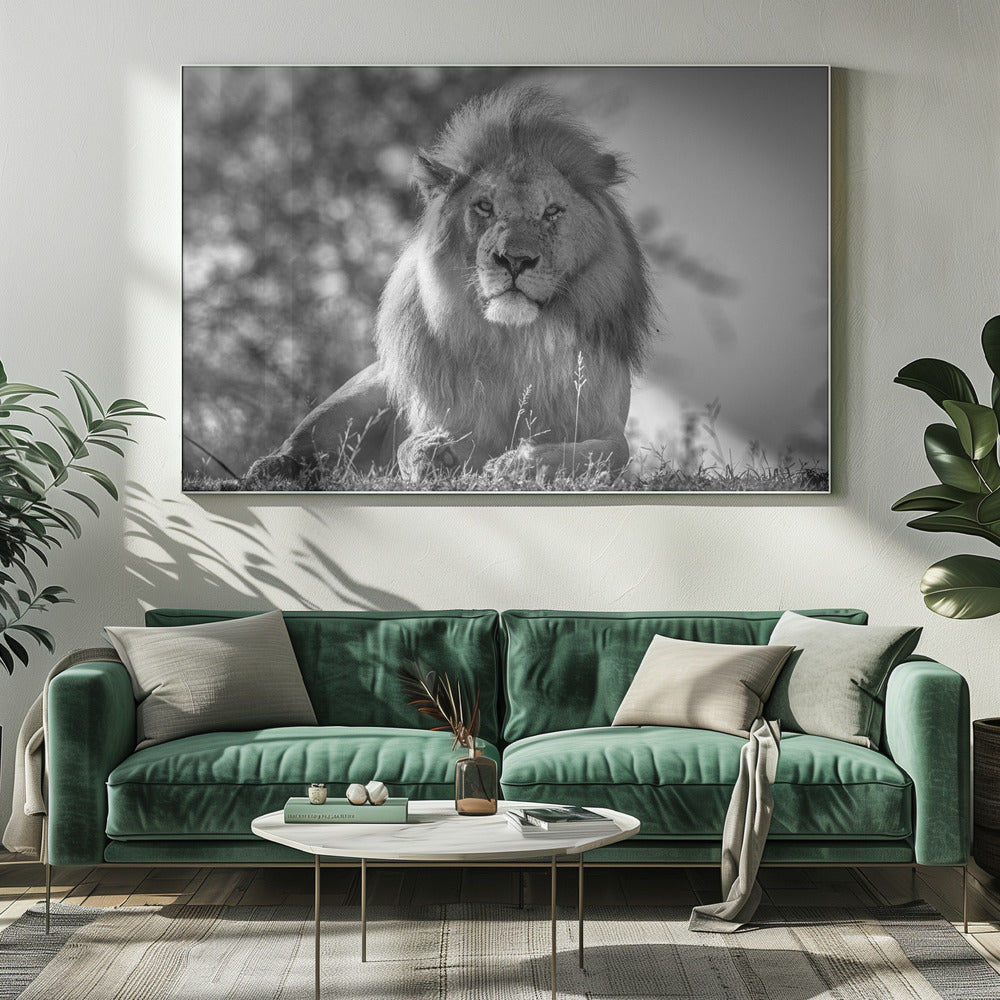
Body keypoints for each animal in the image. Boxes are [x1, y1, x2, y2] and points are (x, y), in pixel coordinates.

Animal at [246, 87, 653, 486]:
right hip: (363, 390)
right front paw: (434, 454)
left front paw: (517, 465)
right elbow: (409, 446)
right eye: (485, 207)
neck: (516, 342)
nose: (514, 260)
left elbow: (598, 456)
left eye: (552, 211)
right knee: (301, 447)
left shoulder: (606, 425)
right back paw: (270, 469)